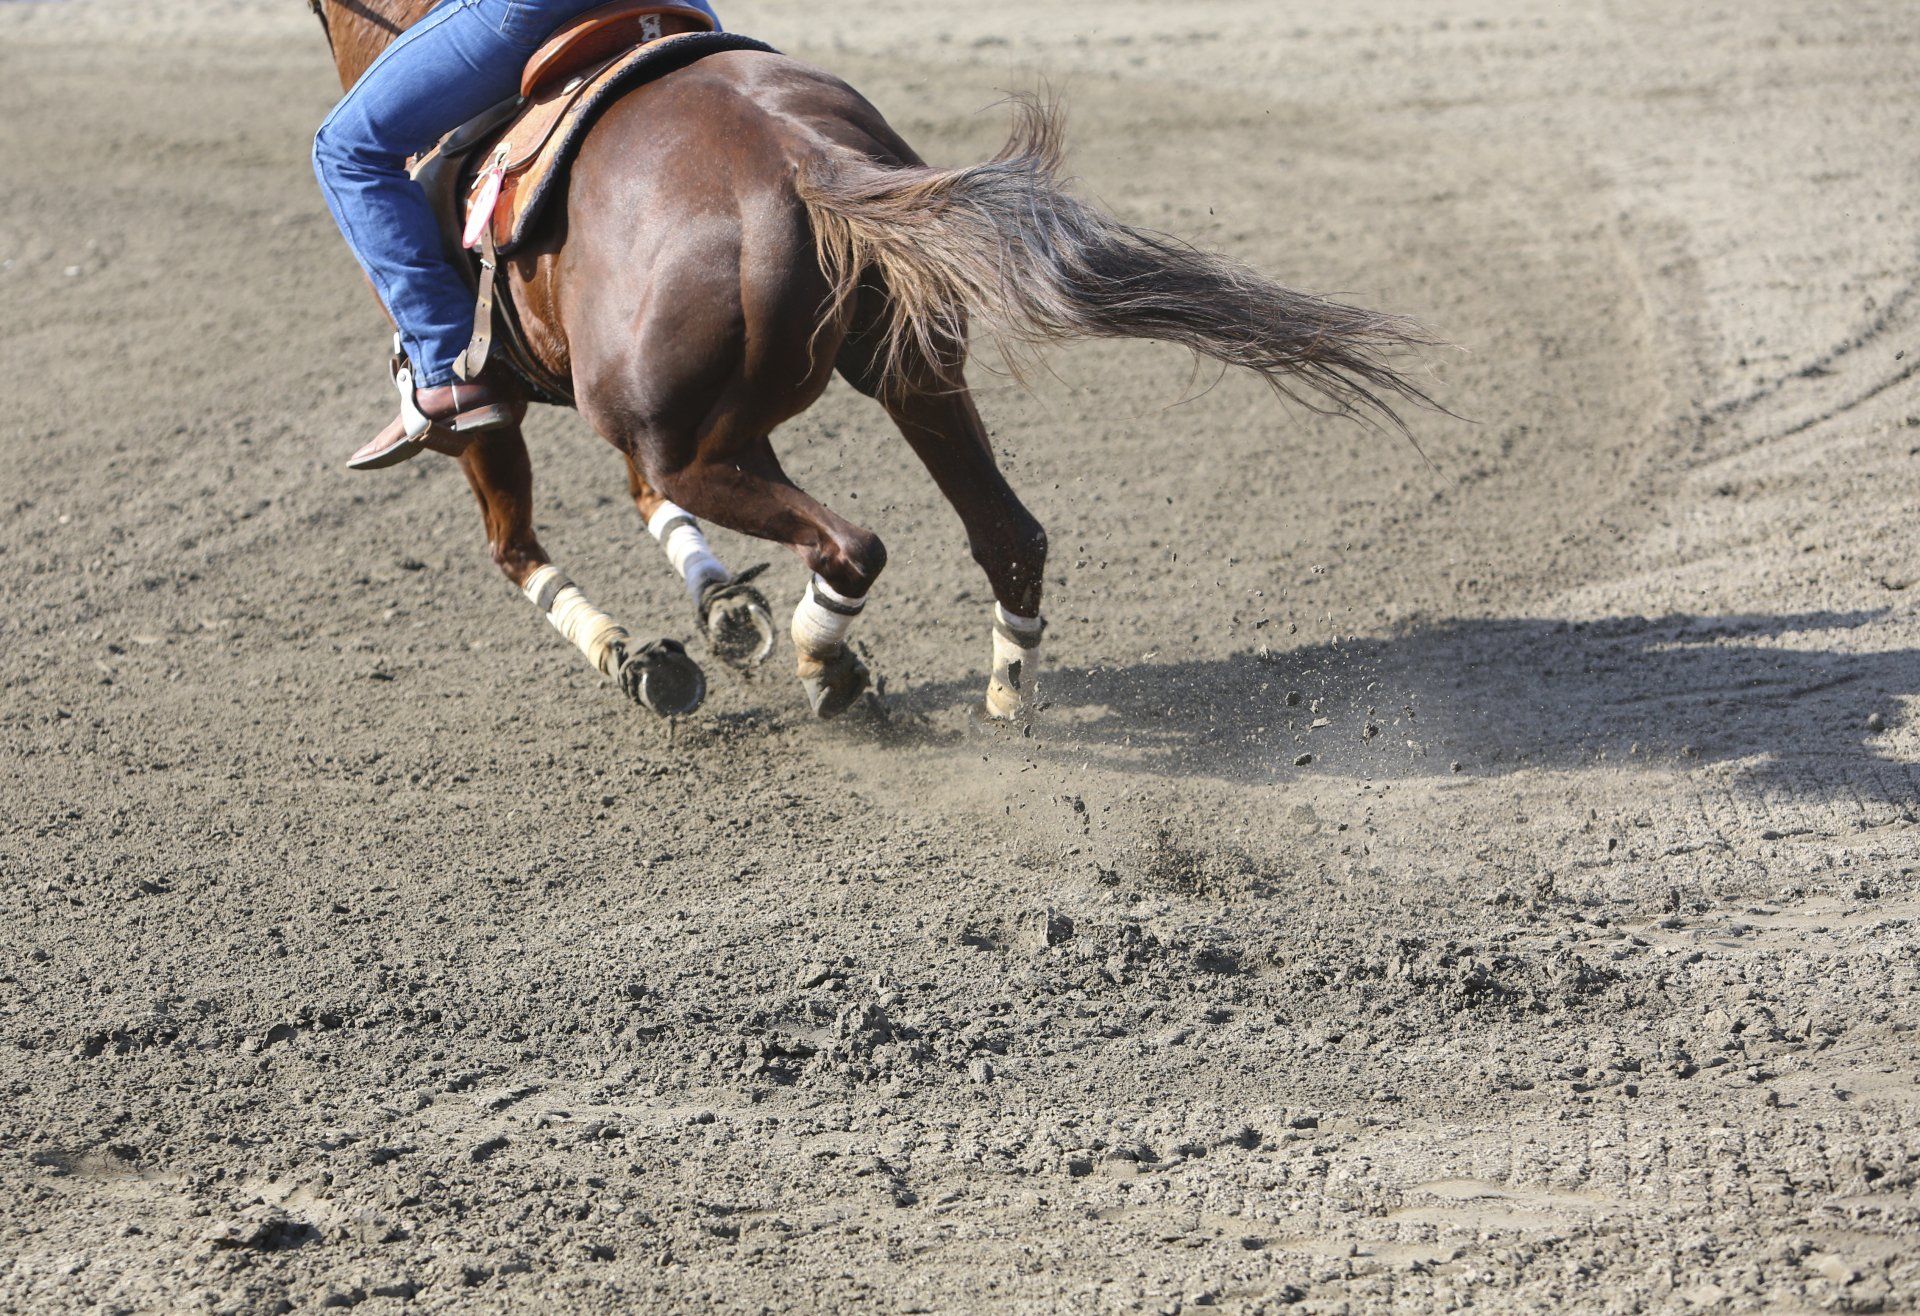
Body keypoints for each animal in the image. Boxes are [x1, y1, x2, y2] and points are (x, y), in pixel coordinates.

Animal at [305, 0, 1438, 723]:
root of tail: (800, 154)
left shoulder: (491, 418)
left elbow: (517, 546)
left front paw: (638, 657)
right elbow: (636, 512)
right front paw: (722, 611)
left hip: (696, 437)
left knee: (852, 545)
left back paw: (829, 666)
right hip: (910, 377)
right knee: (1008, 535)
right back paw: (1003, 702)